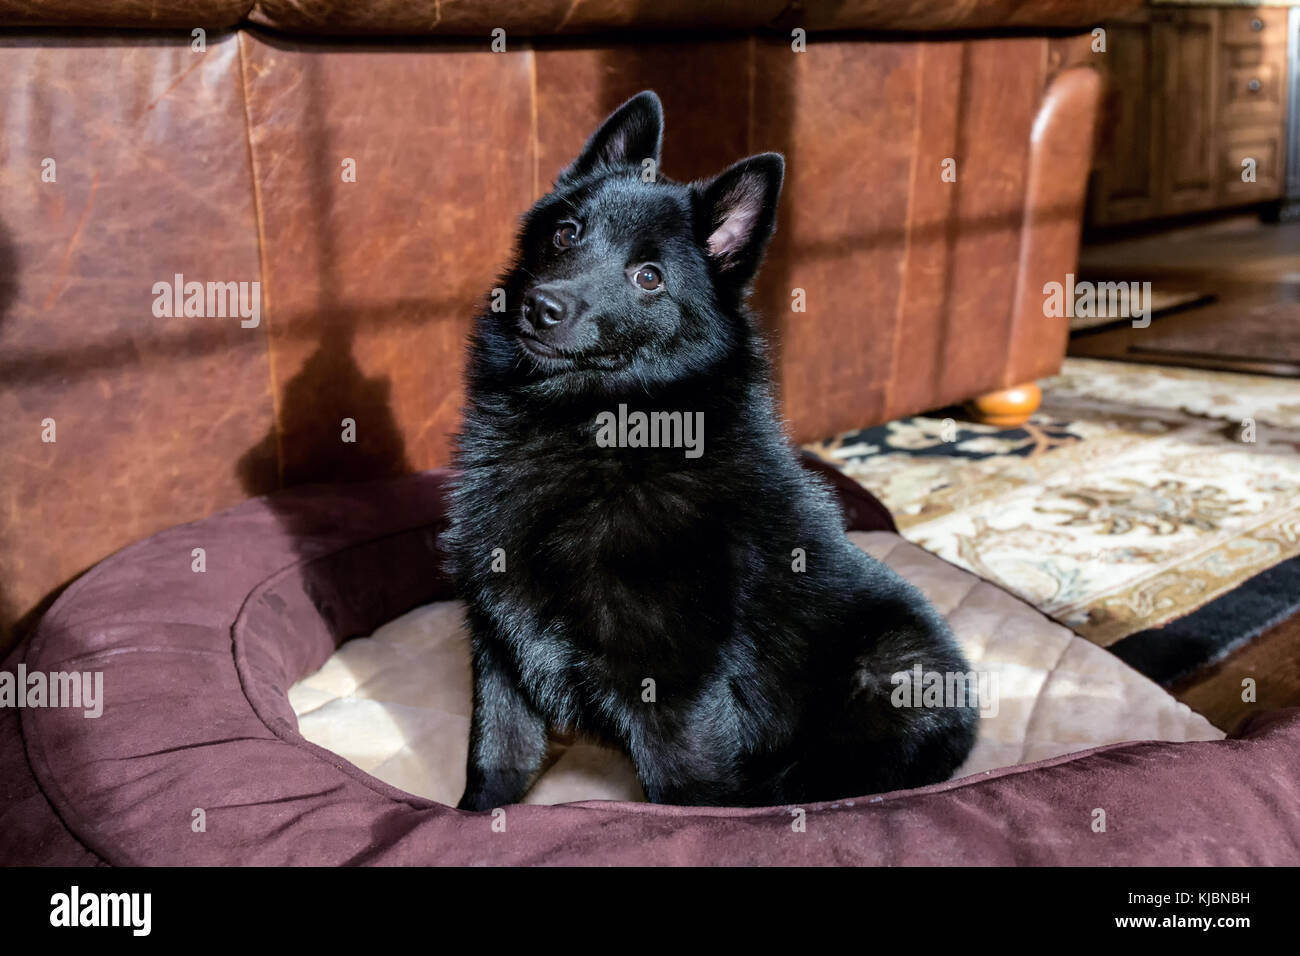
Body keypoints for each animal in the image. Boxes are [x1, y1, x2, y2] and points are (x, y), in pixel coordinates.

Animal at [447, 89, 977, 811]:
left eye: (648, 277)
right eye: (566, 234)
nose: (541, 308)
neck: (590, 433)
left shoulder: (676, 693)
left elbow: (687, 796)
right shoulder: (499, 648)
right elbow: (492, 764)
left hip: (893, 670)